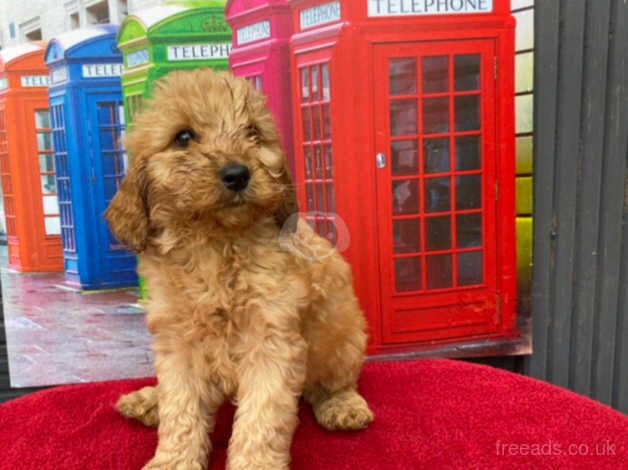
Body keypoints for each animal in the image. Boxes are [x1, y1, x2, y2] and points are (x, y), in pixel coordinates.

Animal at [106, 67, 372, 470]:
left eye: (253, 133)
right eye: (183, 137)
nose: (237, 174)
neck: (216, 242)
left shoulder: (272, 340)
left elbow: (262, 418)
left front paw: (255, 463)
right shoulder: (178, 342)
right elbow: (180, 409)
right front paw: (172, 460)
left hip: (343, 336)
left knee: (332, 382)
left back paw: (342, 405)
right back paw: (149, 400)